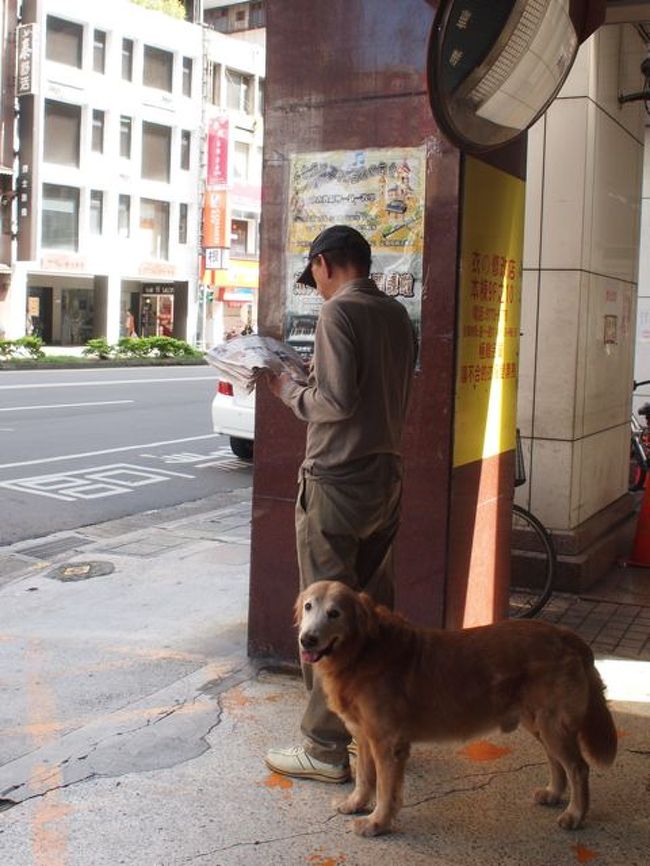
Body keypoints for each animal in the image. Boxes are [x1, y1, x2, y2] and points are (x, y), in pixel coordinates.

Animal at [296, 580, 616, 836]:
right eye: (309, 606)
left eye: (334, 613)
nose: (306, 639)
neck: (362, 651)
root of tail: (567, 635)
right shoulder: (365, 737)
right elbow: (364, 777)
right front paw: (356, 804)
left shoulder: (388, 743)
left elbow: (386, 790)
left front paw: (377, 823)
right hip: (540, 723)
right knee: (555, 760)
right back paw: (553, 794)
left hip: (553, 724)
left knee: (578, 767)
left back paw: (575, 814)